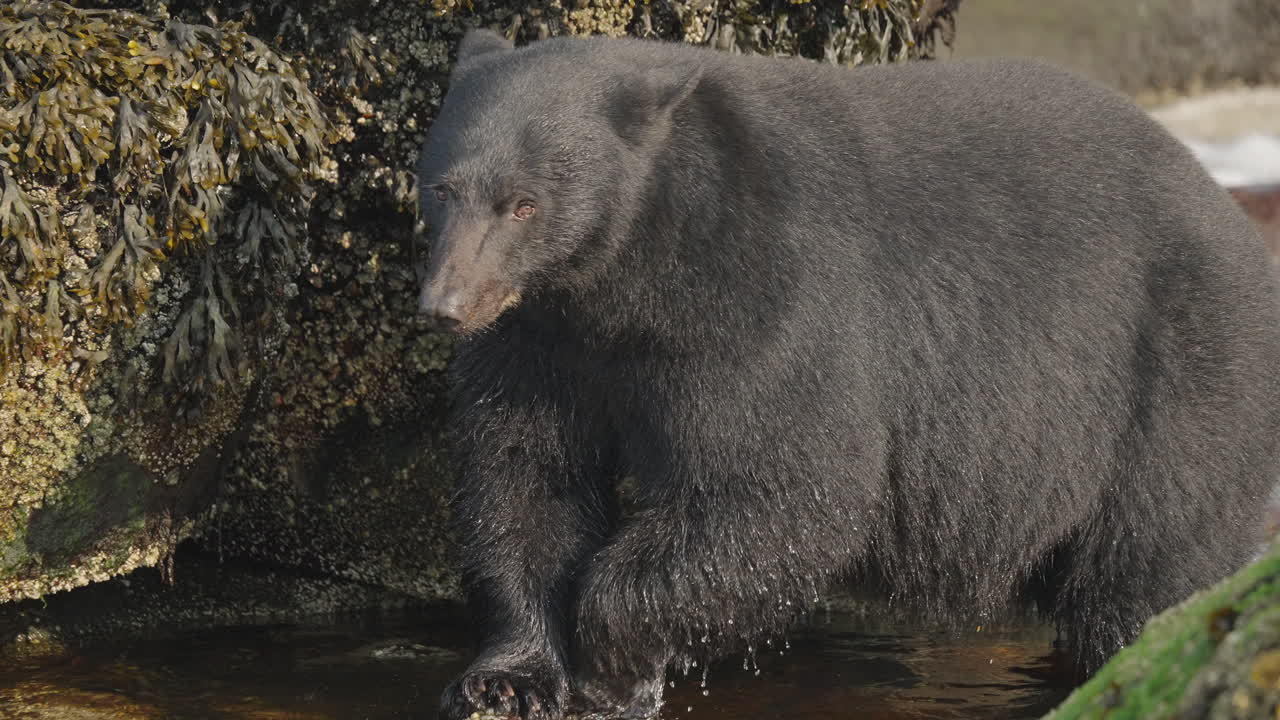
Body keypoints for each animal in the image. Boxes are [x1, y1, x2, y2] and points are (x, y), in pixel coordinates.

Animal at [416, 28, 1280, 720]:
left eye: (523, 203)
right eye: (441, 188)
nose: (446, 305)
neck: (629, 275)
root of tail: (1229, 215)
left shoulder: (766, 292)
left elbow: (782, 485)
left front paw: (613, 659)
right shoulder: (539, 339)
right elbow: (527, 476)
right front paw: (509, 676)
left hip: (1173, 376)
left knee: (1149, 563)